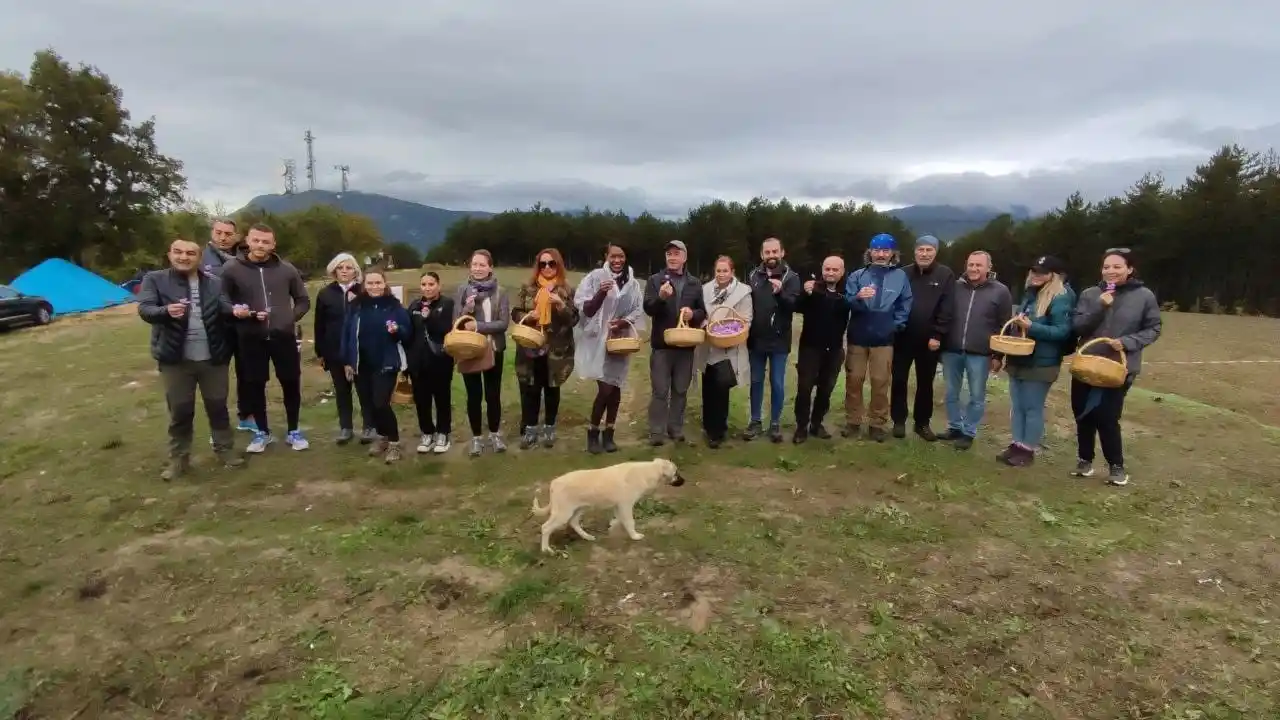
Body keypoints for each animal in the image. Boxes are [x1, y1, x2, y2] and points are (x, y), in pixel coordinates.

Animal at [532, 456, 686, 550]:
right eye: (676, 473)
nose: (684, 481)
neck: (648, 471)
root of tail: (554, 483)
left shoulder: (619, 506)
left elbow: (618, 519)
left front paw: (613, 526)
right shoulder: (625, 505)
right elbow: (630, 522)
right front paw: (634, 536)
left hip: (579, 508)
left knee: (573, 522)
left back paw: (587, 537)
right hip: (563, 513)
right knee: (546, 527)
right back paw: (546, 549)